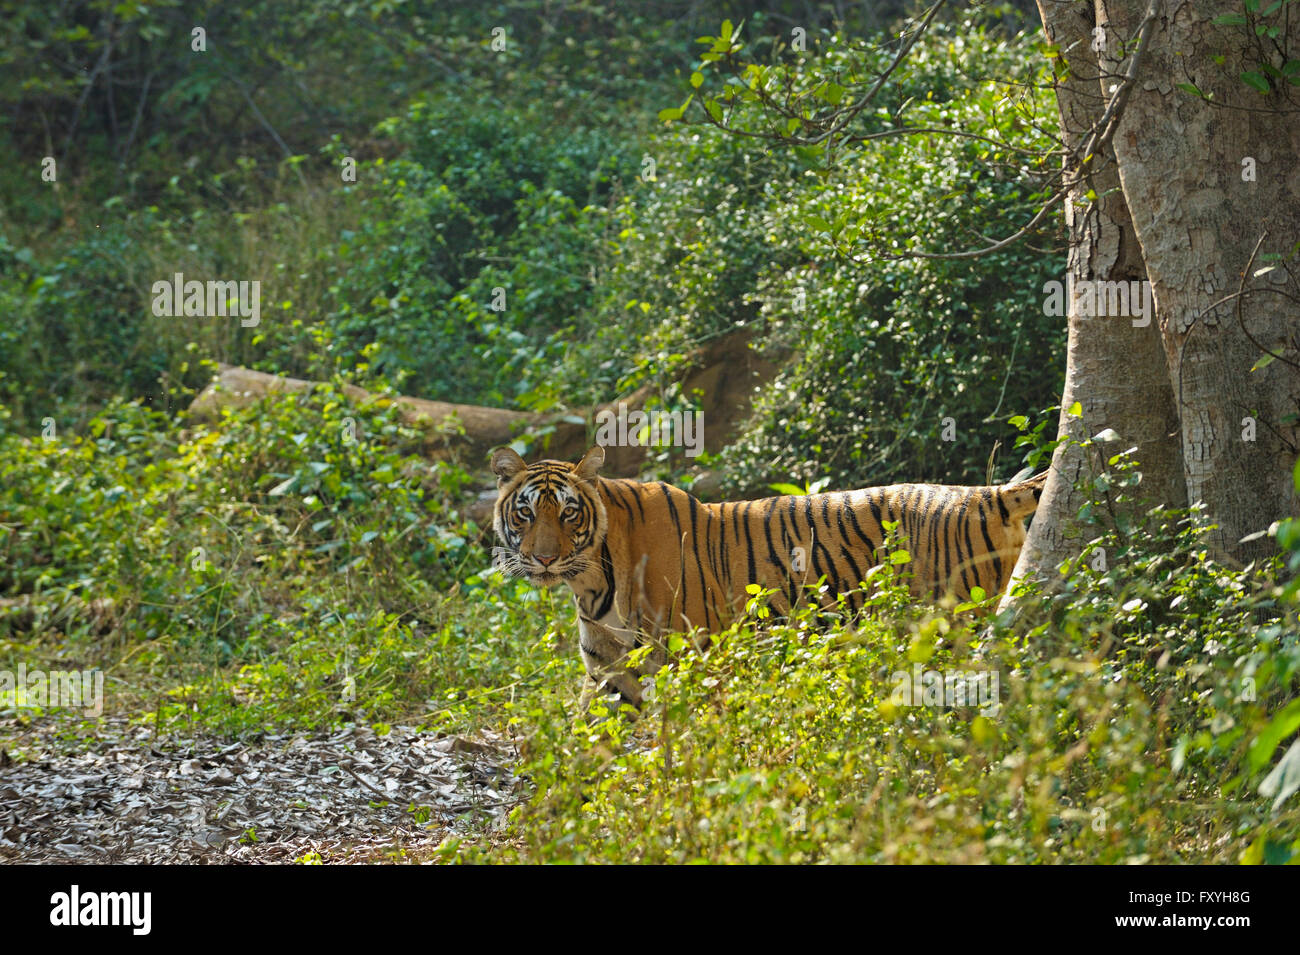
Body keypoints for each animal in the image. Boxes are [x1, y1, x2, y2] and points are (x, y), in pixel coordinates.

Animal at [488, 444, 1045, 706]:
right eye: (526, 513)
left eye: (568, 514)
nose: (543, 559)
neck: (590, 583)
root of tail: (988, 494)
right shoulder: (610, 675)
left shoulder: (699, 660)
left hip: (961, 626)